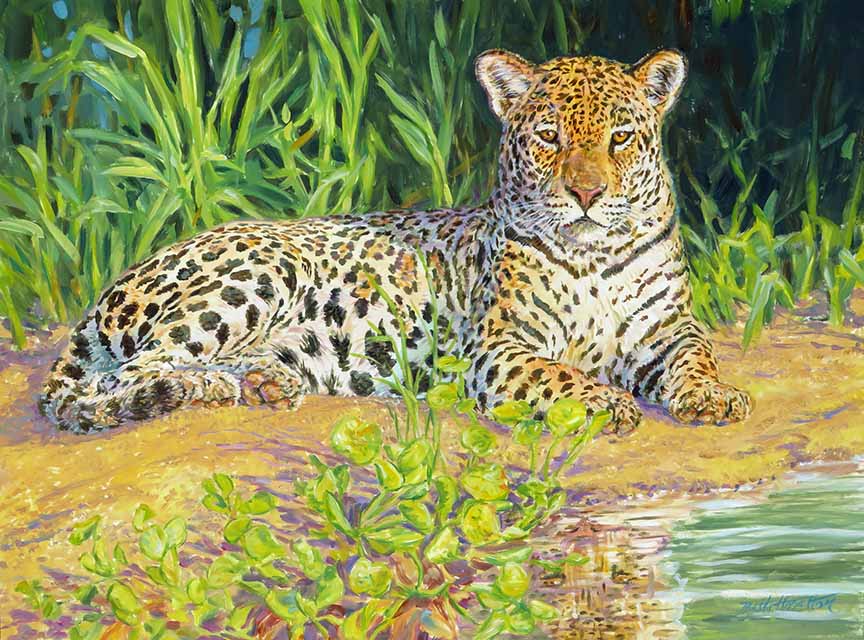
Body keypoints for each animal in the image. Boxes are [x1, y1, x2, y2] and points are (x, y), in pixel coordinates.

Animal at [40, 48, 752, 434]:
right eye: (549, 137)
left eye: (620, 138)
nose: (586, 193)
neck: (594, 255)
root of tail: (112, 288)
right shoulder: (501, 348)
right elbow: (558, 375)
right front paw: (605, 401)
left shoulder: (667, 329)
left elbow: (697, 357)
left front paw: (713, 395)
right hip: (261, 272)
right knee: (131, 374)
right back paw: (208, 389)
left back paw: (264, 383)